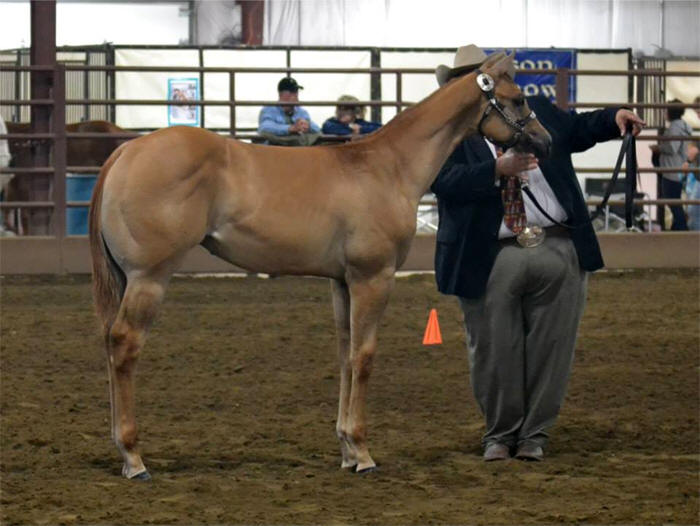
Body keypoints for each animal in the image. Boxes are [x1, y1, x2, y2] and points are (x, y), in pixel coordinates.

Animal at [89, 52, 552, 480]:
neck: (388, 167)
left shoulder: (342, 282)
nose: (544, 142)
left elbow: (345, 355)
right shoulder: (373, 278)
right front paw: (363, 453)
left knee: (110, 345)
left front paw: (347, 449)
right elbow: (364, 357)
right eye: (518, 98)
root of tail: (127, 151)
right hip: (148, 279)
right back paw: (133, 457)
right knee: (124, 344)